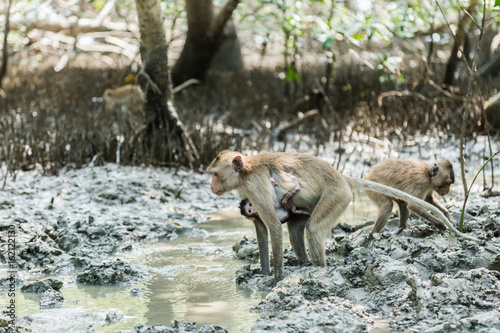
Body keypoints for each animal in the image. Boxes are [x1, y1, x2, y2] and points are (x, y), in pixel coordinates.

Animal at [208, 150, 480, 282]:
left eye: (214, 173)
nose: (211, 186)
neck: (246, 171)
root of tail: (341, 176)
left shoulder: (253, 184)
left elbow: (273, 226)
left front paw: (275, 279)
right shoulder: (247, 191)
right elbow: (262, 229)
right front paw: (264, 274)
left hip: (338, 195)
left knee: (313, 229)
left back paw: (319, 270)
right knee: (298, 229)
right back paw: (306, 265)